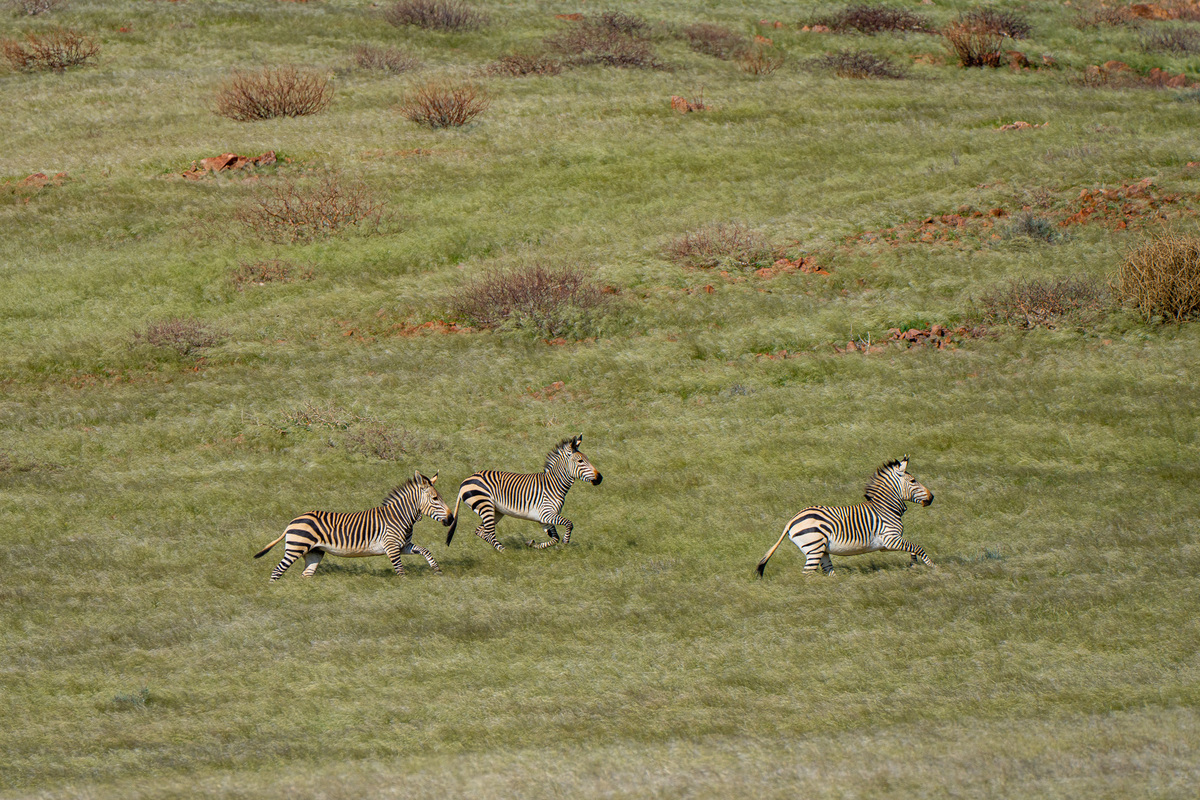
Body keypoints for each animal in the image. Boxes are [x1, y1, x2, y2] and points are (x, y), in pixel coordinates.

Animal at [253, 471, 452, 581]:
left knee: (306, 575)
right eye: (435, 499)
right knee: (277, 571)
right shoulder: (391, 546)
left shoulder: (403, 545)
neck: (399, 516)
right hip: (296, 548)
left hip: (314, 552)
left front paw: (438, 572)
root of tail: (292, 522)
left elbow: (426, 551)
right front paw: (404, 586)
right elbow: (400, 570)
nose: (451, 519)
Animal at [445, 434, 602, 551]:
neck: (553, 485)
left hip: (496, 511)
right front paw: (565, 542)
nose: (600, 478)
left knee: (480, 531)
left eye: (587, 459)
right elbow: (569, 524)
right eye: (580, 461)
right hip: (485, 506)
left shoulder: (543, 518)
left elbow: (554, 538)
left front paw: (533, 545)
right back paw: (505, 552)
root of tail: (464, 482)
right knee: (489, 533)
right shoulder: (546, 513)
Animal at [756, 456, 935, 577]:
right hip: (814, 547)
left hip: (821, 549)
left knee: (828, 571)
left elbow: (913, 549)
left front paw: (914, 567)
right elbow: (918, 547)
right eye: (913, 481)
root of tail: (791, 520)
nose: (932, 497)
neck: (886, 508)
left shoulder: (890, 543)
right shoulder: (889, 539)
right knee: (808, 574)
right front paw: (933, 568)